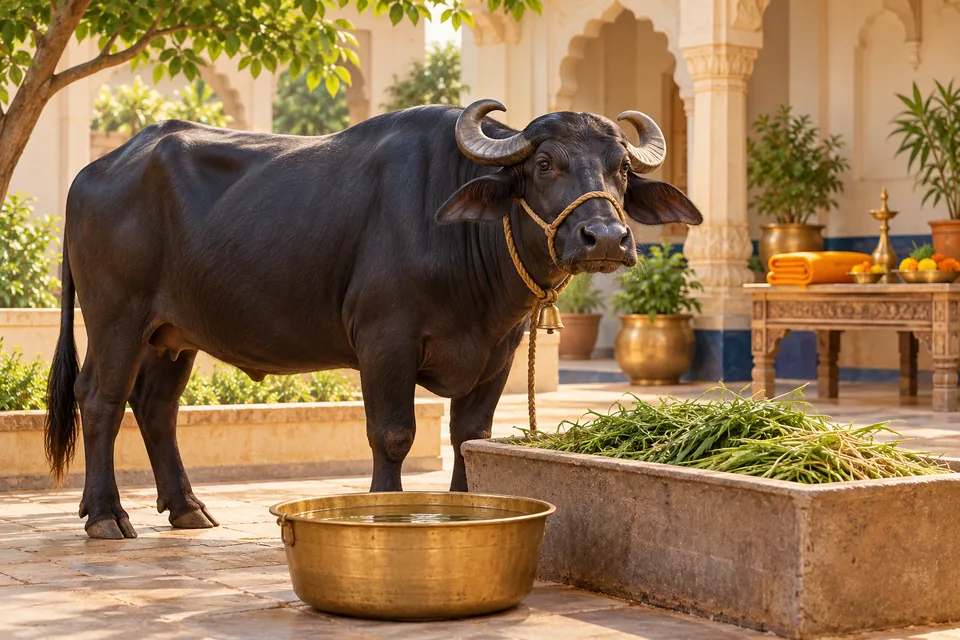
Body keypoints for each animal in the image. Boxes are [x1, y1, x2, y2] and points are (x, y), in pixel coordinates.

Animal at [45, 99, 703, 539]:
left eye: (621, 168)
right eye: (544, 164)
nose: (606, 237)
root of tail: (94, 171)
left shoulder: (500, 349)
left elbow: (470, 438)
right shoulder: (386, 340)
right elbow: (393, 435)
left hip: (173, 334)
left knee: (155, 405)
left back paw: (187, 508)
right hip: (116, 316)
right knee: (100, 399)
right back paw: (106, 516)